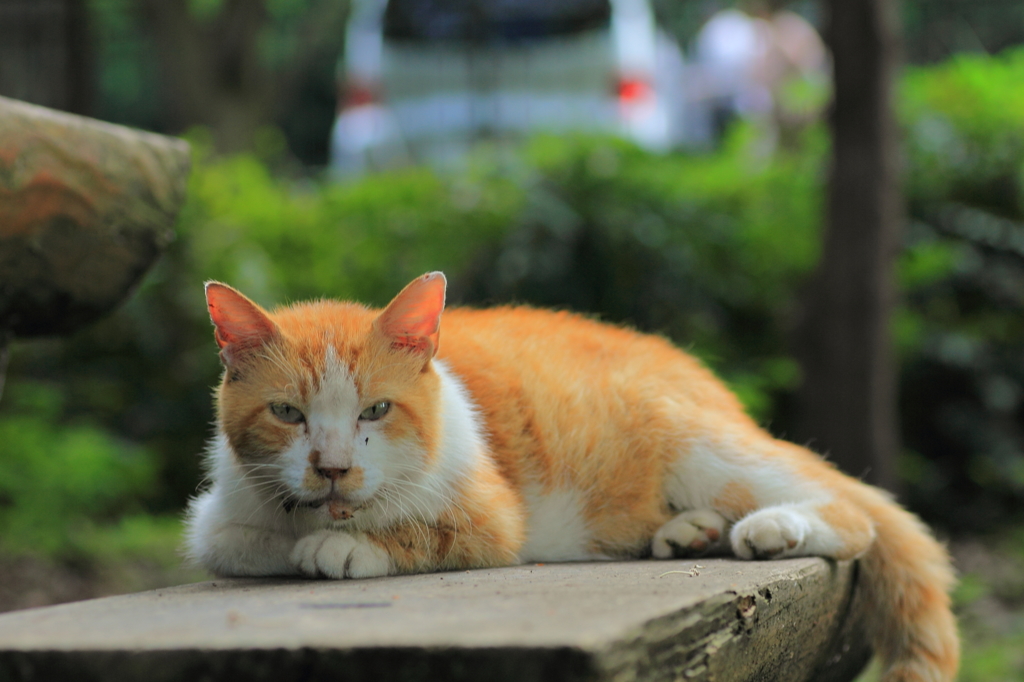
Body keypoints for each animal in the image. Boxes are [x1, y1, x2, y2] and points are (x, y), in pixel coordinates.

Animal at [186, 270, 958, 679]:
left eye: (376, 408)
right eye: (287, 413)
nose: (334, 467)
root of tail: (695, 370)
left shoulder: (494, 517)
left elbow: (426, 530)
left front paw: (345, 544)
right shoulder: (218, 517)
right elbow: (237, 540)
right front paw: (299, 533)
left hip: (700, 446)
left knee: (850, 512)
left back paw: (769, 528)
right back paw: (690, 533)